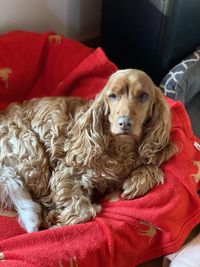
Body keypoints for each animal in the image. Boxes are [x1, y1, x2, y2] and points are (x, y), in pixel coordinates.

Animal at [0, 69, 176, 232]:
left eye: (144, 96)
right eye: (112, 96)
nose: (124, 123)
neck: (121, 147)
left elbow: (154, 165)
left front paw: (138, 181)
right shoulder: (67, 173)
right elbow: (84, 211)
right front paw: (59, 222)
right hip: (33, 157)